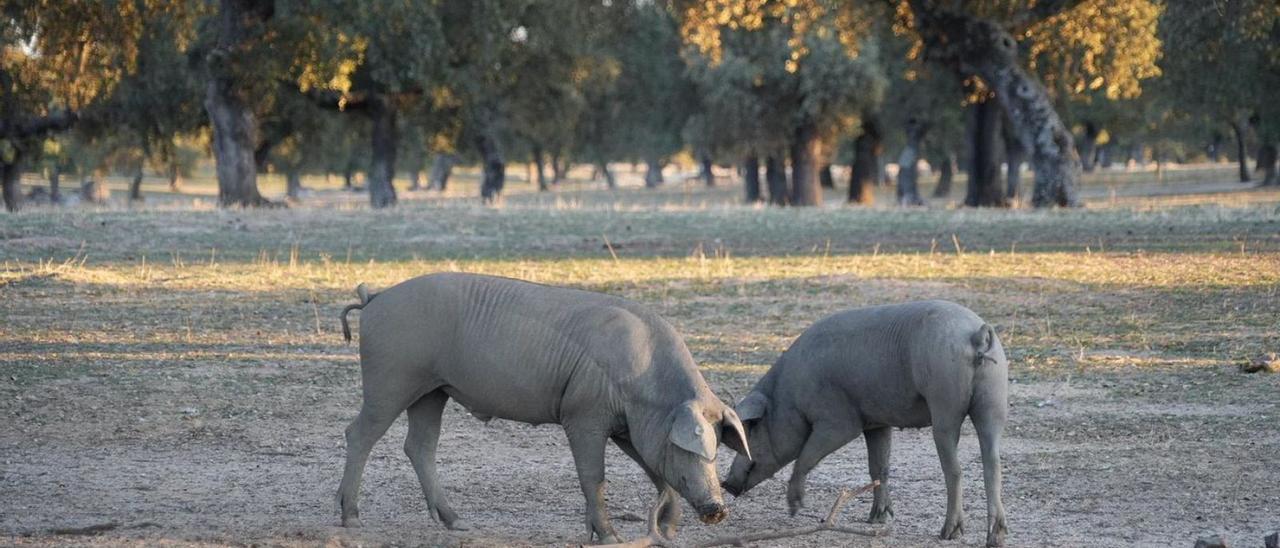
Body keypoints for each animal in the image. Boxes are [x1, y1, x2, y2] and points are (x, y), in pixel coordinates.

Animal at [335, 274, 747, 542]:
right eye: (689, 447)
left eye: (716, 448)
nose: (718, 508)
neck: (646, 381)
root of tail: (375, 298)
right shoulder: (584, 416)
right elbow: (594, 476)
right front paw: (609, 537)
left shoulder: (628, 429)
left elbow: (654, 471)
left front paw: (668, 530)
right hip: (391, 381)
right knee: (359, 434)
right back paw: (351, 519)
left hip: (432, 392)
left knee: (419, 446)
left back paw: (457, 524)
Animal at [721, 302, 1008, 545]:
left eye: (753, 428)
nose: (726, 484)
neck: (789, 396)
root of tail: (976, 334)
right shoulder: (877, 424)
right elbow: (879, 468)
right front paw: (876, 520)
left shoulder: (839, 422)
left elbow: (806, 457)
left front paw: (795, 508)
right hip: (994, 402)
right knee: (992, 463)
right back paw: (995, 537)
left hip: (945, 405)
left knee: (955, 469)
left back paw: (949, 533)